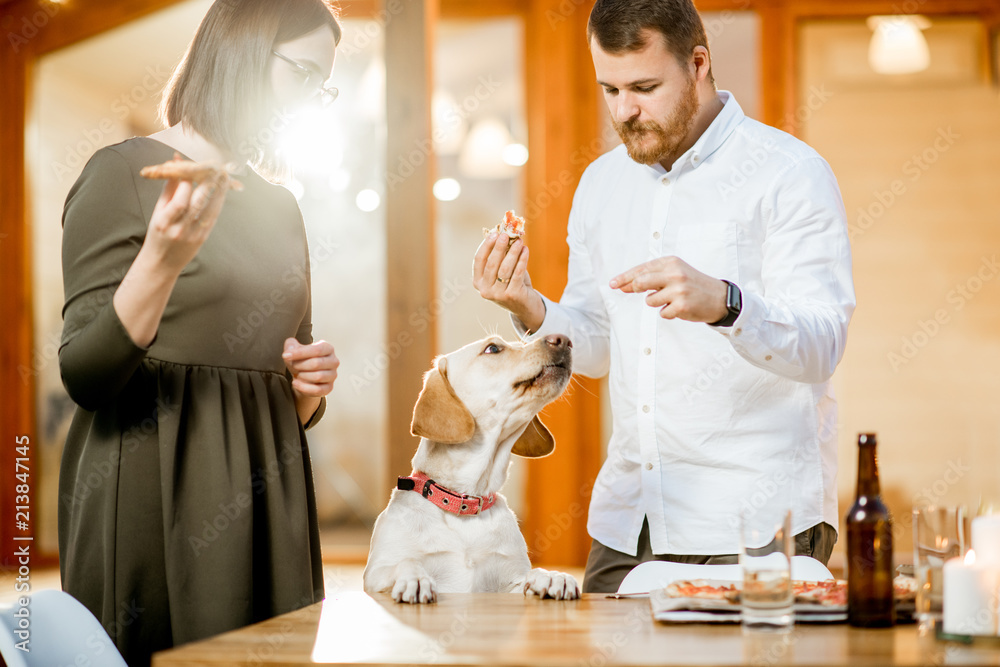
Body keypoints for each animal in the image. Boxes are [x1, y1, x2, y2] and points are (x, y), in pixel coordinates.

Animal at [362, 336, 580, 604]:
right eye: (493, 348)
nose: (564, 339)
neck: (463, 502)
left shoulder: (507, 583)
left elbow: (528, 576)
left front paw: (551, 576)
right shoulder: (376, 572)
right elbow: (406, 562)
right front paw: (415, 579)